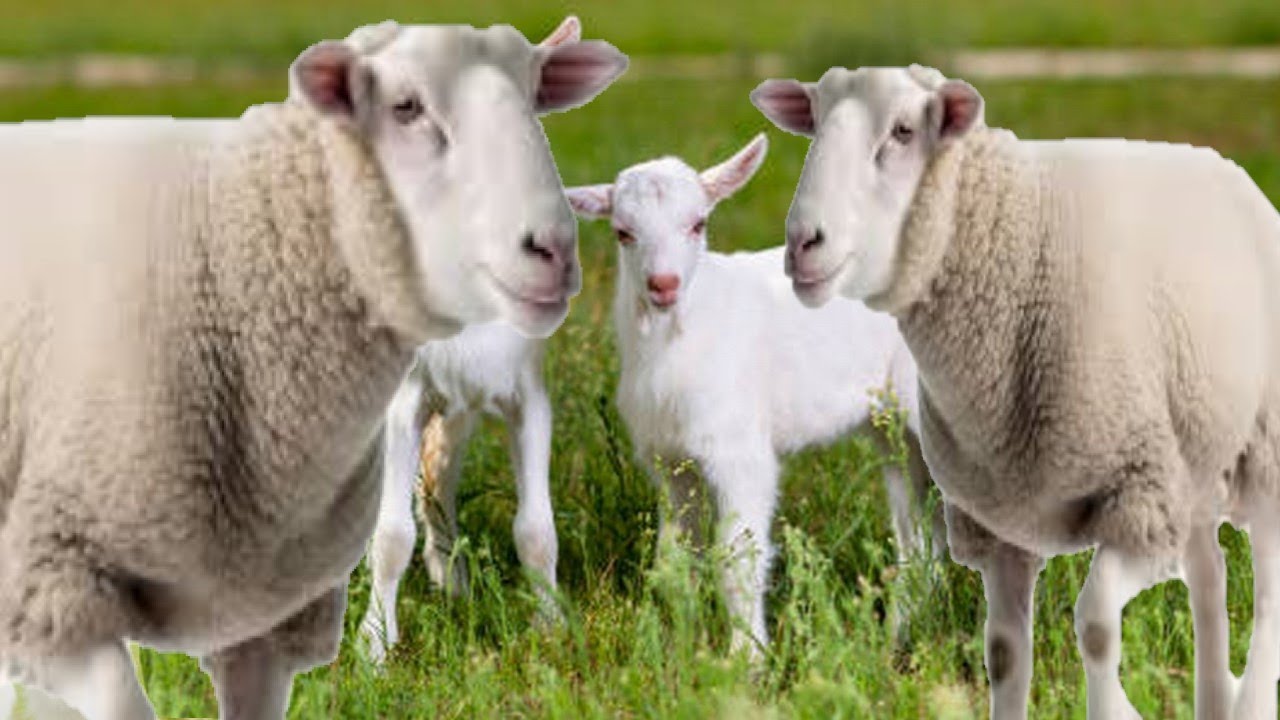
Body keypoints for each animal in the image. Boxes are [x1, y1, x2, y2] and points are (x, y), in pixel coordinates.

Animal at [358, 320, 555, 664]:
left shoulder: (527, 397)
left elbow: (536, 531)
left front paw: (552, 627)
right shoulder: (399, 406)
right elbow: (393, 538)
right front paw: (375, 644)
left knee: (437, 472)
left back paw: (451, 578)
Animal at [564, 134, 946, 655]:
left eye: (698, 224)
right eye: (622, 232)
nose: (663, 285)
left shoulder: (739, 451)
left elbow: (737, 554)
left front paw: (746, 657)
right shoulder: (669, 461)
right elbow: (673, 557)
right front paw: (679, 643)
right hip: (896, 433)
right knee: (918, 533)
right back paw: (900, 636)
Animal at [754, 63, 1280, 719]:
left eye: (902, 131)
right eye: (815, 122)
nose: (802, 242)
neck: (1020, 250)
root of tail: (1225, 165)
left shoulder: (1136, 498)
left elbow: (1096, 624)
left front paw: (1116, 708)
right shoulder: (998, 522)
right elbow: (1003, 653)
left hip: (1262, 448)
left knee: (1267, 583)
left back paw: (1252, 696)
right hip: (1193, 465)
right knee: (1210, 574)